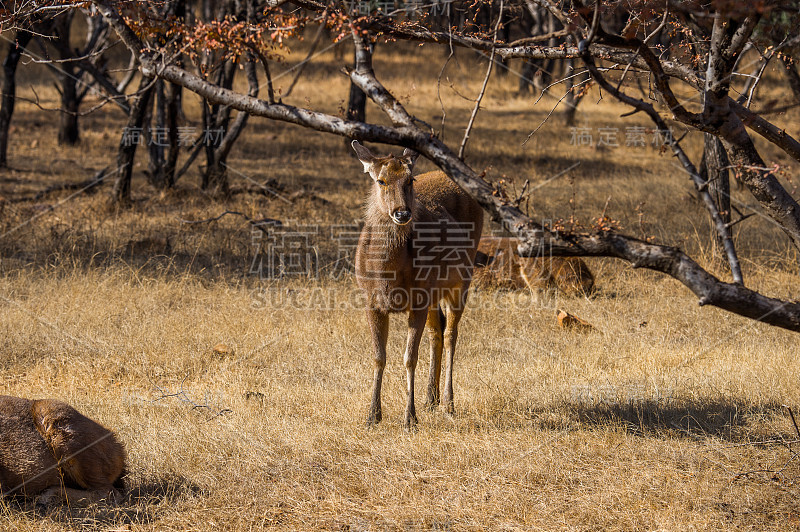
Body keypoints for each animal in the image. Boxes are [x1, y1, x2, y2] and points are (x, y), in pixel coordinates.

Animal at [354, 140, 484, 428]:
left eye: (409, 179)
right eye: (381, 180)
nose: (402, 213)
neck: (387, 276)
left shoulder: (418, 300)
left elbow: (409, 358)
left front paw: (409, 418)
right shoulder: (371, 301)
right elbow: (378, 356)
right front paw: (372, 415)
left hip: (462, 278)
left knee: (451, 334)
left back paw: (447, 402)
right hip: (434, 290)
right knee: (438, 331)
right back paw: (430, 399)